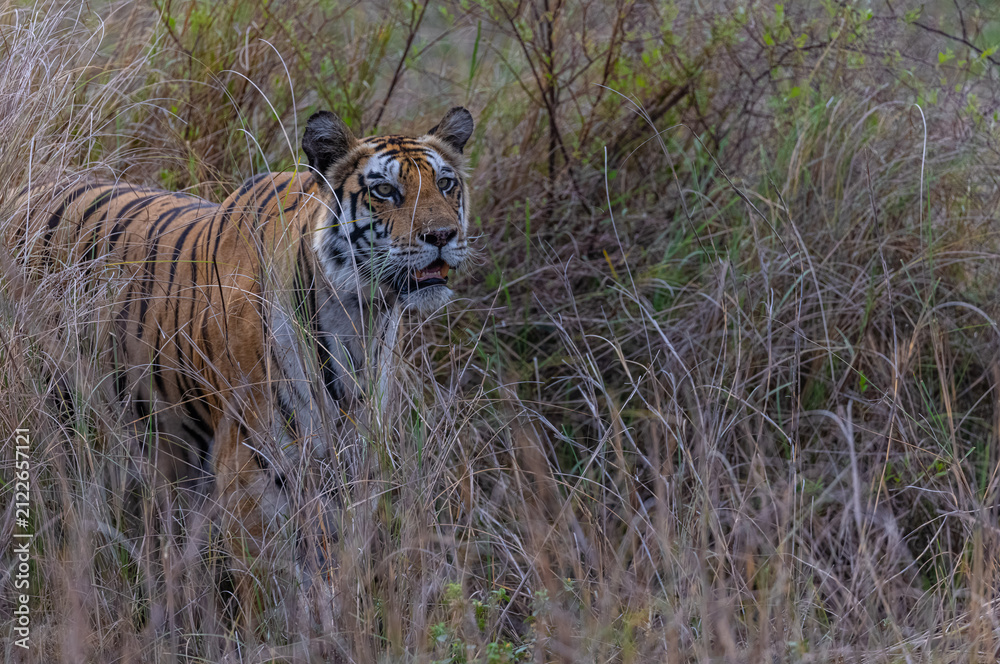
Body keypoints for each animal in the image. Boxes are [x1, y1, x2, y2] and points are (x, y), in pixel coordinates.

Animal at [15, 107, 474, 582]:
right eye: (385, 190)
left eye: (446, 184)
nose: (442, 235)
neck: (359, 318)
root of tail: (25, 188)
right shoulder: (251, 471)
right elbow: (276, 583)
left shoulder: (352, 458)